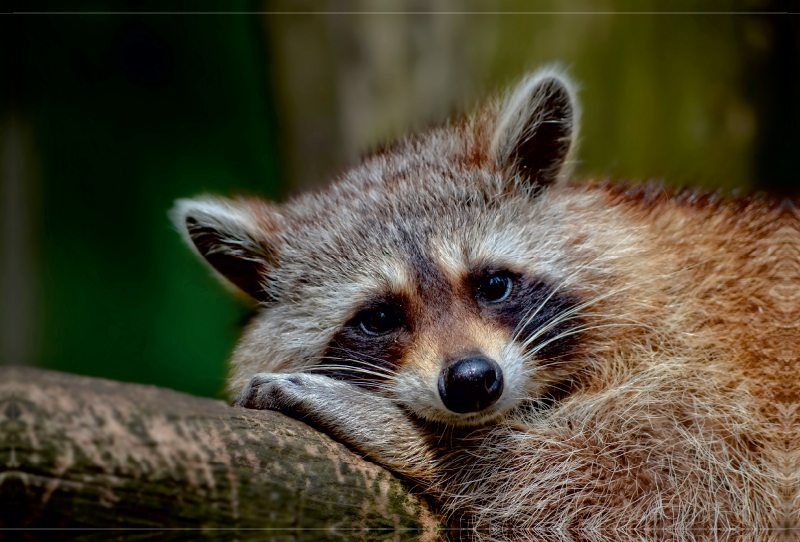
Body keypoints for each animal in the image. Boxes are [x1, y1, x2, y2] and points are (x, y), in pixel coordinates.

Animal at [173, 71, 792, 540]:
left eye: (493, 284)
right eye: (379, 317)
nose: (471, 381)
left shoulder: (709, 372)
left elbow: (645, 494)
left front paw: (416, 438)